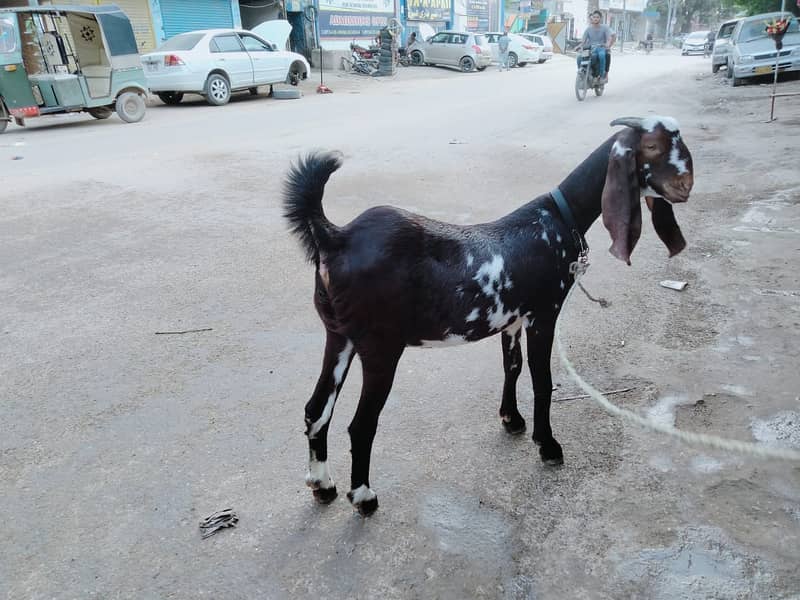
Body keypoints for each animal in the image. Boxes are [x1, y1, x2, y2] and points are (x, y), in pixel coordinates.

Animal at [286, 117, 692, 516]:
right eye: (651, 147)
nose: (685, 185)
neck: (558, 218)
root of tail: (336, 236)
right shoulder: (544, 314)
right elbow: (542, 380)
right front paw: (548, 445)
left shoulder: (512, 319)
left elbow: (512, 366)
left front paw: (511, 419)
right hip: (380, 345)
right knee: (361, 423)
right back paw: (364, 497)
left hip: (339, 335)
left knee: (316, 409)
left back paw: (323, 485)